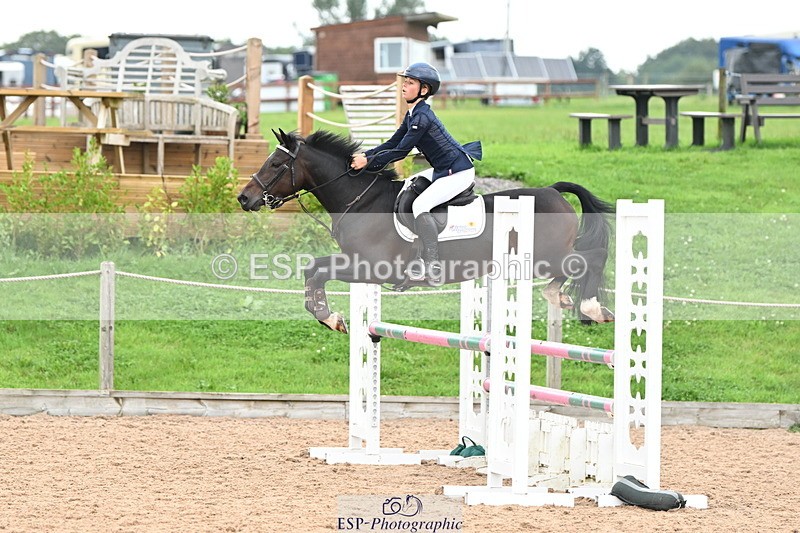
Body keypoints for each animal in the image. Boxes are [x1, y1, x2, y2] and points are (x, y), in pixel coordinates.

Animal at [237, 128, 615, 333]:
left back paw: (592, 308)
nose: (244, 197)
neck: (361, 200)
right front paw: (329, 317)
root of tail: (553, 190)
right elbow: (312, 269)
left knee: (591, 259)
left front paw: (328, 317)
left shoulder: (371, 268)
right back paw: (560, 296)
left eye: (275, 164)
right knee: (575, 266)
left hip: (544, 256)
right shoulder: (352, 261)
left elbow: (318, 272)